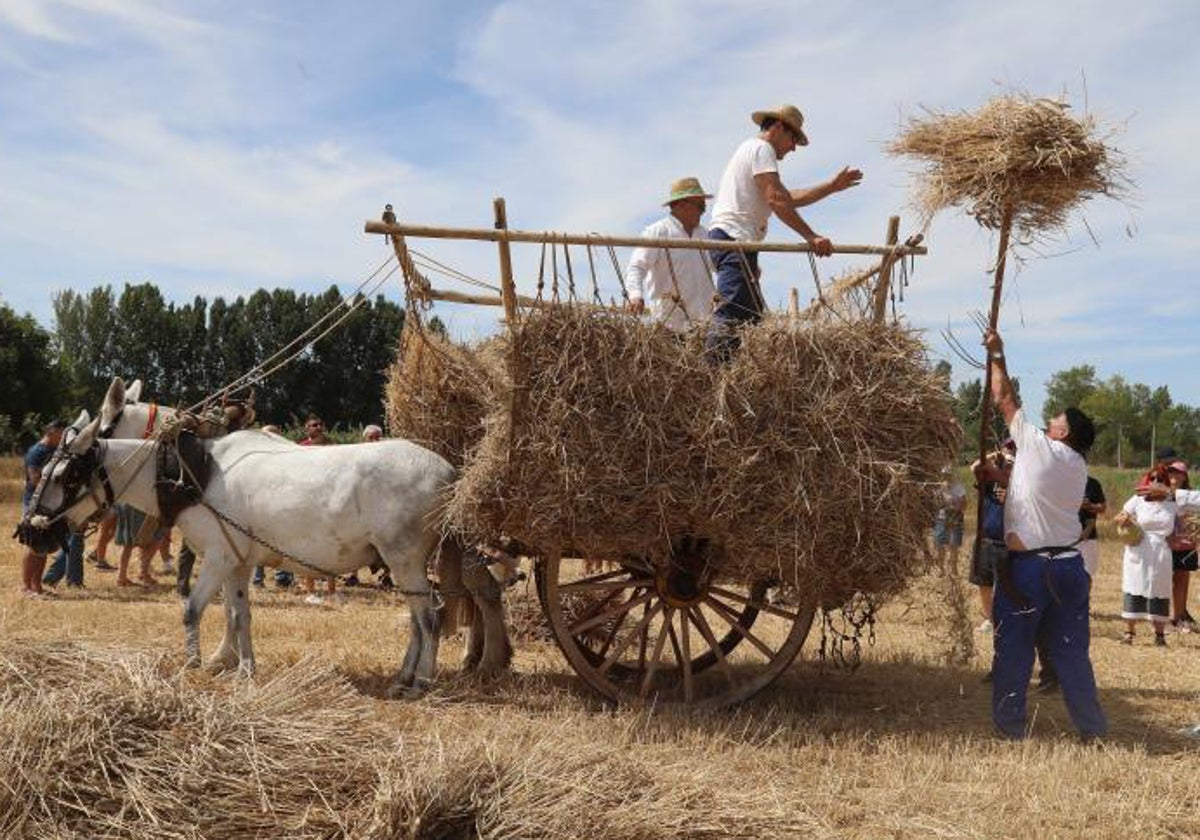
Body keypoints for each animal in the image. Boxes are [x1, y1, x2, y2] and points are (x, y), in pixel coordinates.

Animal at [23, 400, 504, 696]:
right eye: (44, 470)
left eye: (65, 474)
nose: (30, 531)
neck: (194, 472)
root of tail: (449, 473)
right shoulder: (237, 563)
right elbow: (239, 614)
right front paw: (243, 668)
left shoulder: (217, 557)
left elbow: (191, 609)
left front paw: (194, 664)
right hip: (403, 562)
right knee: (420, 620)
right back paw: (405, 673)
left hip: (405, 558)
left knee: (432, 616)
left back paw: (419, 681)